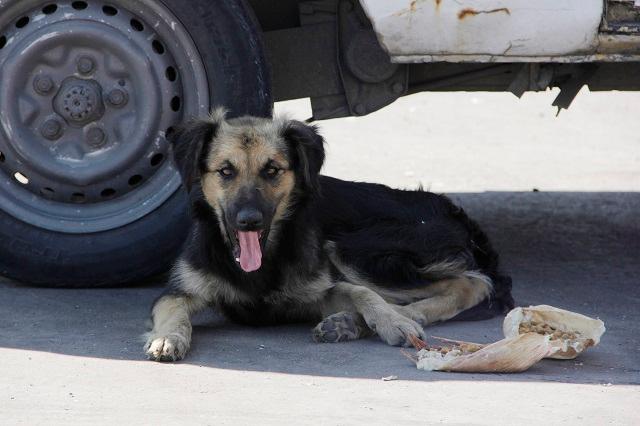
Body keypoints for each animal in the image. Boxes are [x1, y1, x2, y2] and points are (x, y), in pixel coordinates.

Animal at [144, 108, 516, 362]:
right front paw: (167, 338)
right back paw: (348, 323)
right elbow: (172, 310)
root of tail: (457, 214)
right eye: (225, 171)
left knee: (471, 284)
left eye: (272, 170)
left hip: (354, 249)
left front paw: (392, 321)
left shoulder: (317, 290)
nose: (249, 220)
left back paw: (392, 316)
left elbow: (360, 292)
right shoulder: (180, 291)